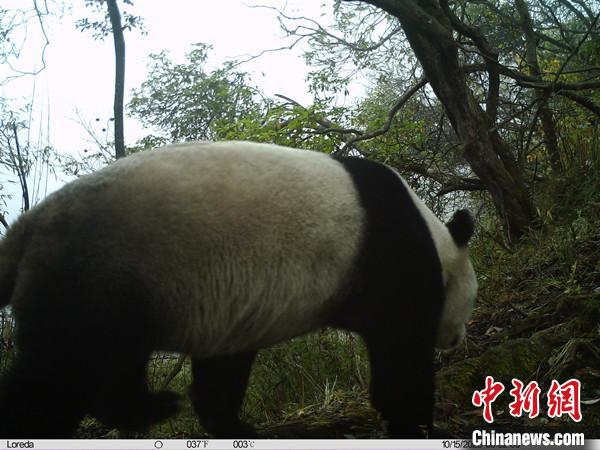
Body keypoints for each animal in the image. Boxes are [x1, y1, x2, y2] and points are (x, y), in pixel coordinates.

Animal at [0, 140, 478, 436]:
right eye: (469, 305)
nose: (459, 339)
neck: (436, 239)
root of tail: (29, 224)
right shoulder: (391, 258)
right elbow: (402, 355)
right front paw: (415, 423)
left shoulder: (232, 306)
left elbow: (222, 372)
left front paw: (232, 424)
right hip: (95, 272)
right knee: (60, 372)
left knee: (111, 365)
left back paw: (149, 406)